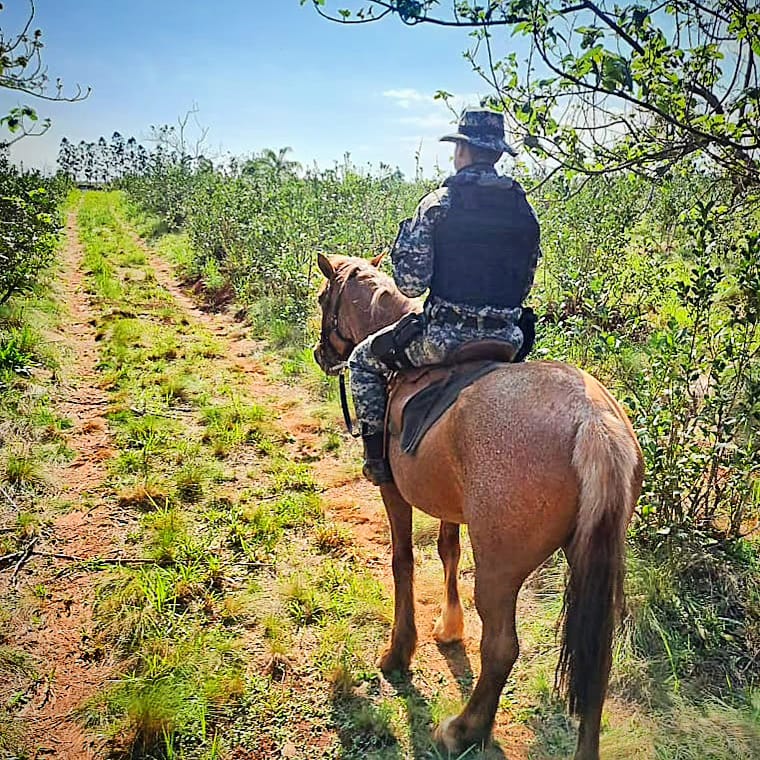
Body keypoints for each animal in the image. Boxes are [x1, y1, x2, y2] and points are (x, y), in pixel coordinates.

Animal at [312, 252, 644, 756]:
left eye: (322, 298)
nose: (321, 354)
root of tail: (594, 421)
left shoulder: (395, 495)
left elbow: (403, 561)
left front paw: (398, 653)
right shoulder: (451, 507)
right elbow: (447, 552)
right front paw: (450, 627)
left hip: (499, 570)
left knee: (503, 647)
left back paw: (464, 729)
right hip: (589, 557)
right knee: (596, 661)